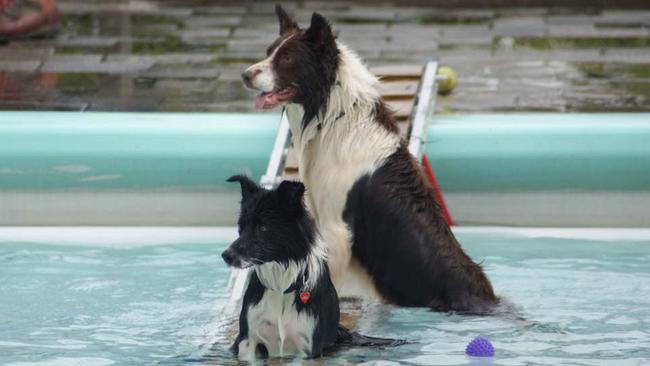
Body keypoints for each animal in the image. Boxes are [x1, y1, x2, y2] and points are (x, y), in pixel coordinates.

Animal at [223, 176, 402, 358]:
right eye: (241, 227)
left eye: (263, 227)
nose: (226, 255)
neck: (281, 286)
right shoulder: (247, 342)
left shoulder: (308, 348)